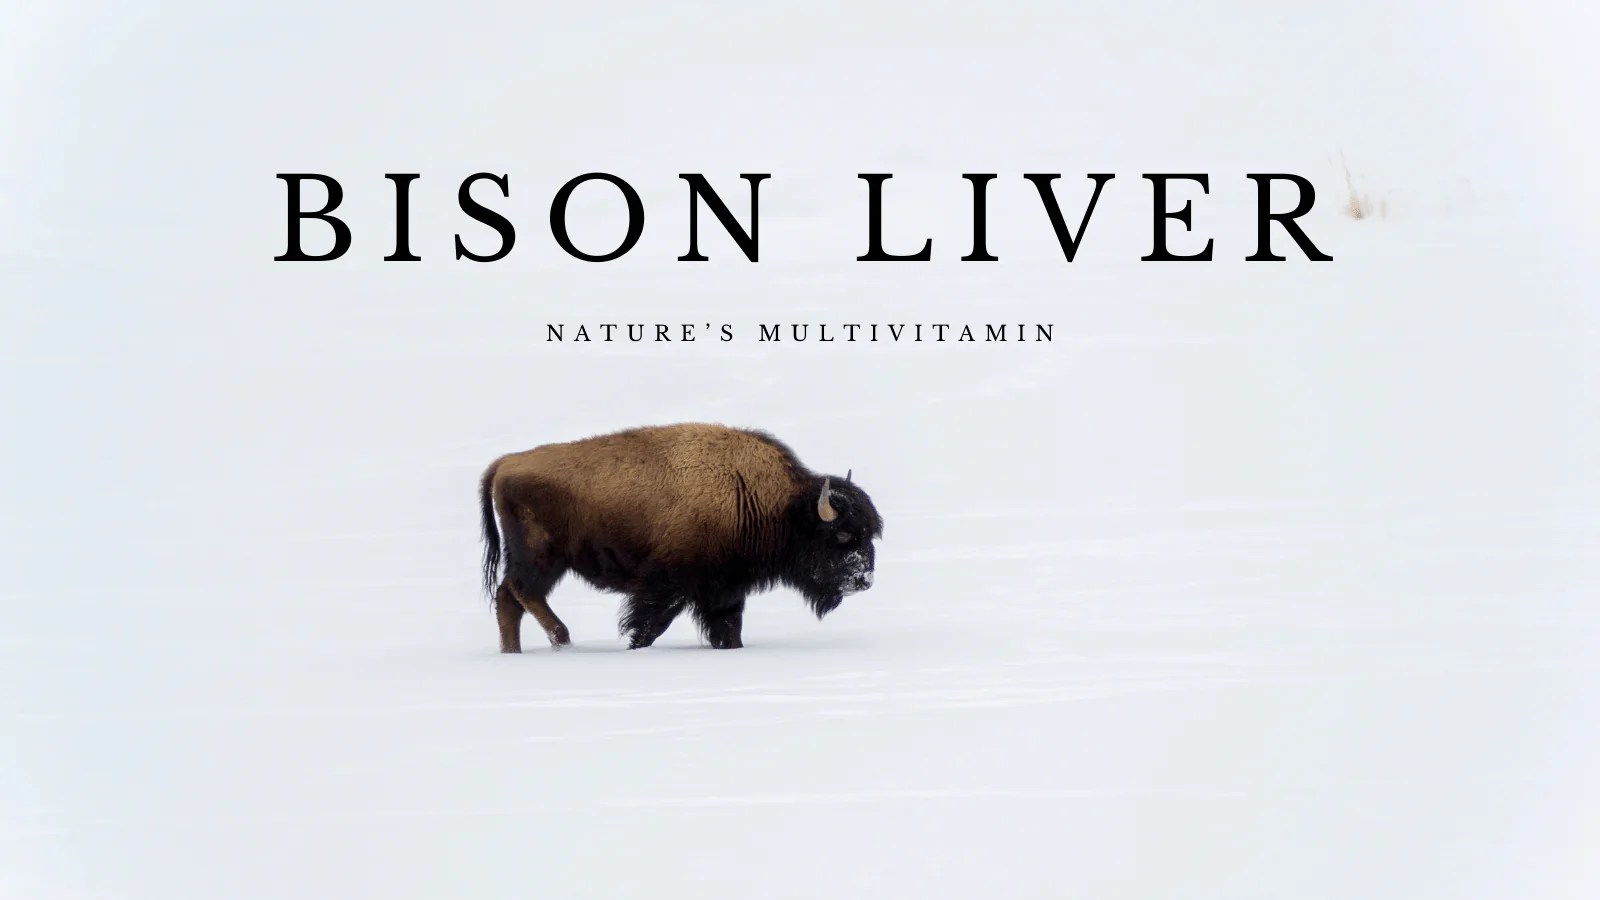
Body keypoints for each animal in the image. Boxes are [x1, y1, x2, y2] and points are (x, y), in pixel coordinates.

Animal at [478, 423, 884, 651]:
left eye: (870, 535)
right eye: (843, 534)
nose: (863, 581)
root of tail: (506, 463)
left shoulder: (724, 591)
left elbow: (729, 631)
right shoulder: (668, 587)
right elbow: (648, 626)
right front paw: (634, 647)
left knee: (509, 599)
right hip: (541, 558)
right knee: (521, 593)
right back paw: (561, 639)